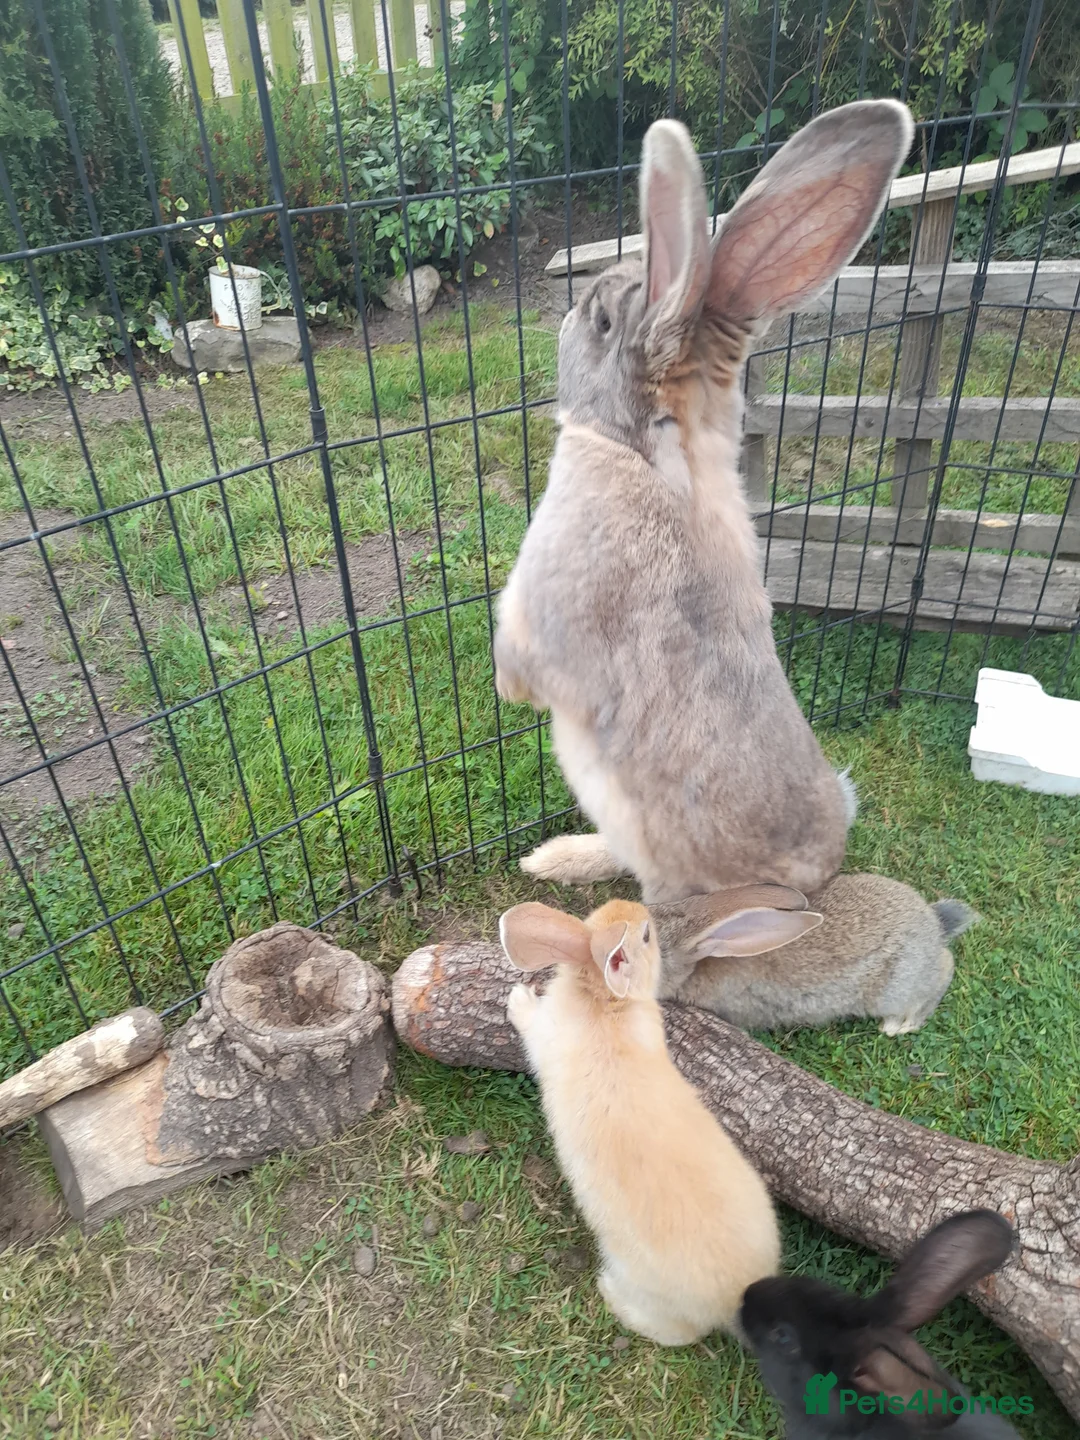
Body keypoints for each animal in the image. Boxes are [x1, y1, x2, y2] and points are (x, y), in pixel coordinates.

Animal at [494, 99, 913, 912]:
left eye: (602, 323)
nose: (567, 316)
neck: (642, 452)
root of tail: (820, 877)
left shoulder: (539, 610)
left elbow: (521, 663)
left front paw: (506, 691)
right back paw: (553, 857)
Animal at [500, 897, 781, 1345]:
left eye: (646, 933)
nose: (635, 906)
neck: (604, 999)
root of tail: (735, 1301)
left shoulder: (545, 1035)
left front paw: (517, 999)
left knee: (680, 1333)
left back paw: (611, 1294)